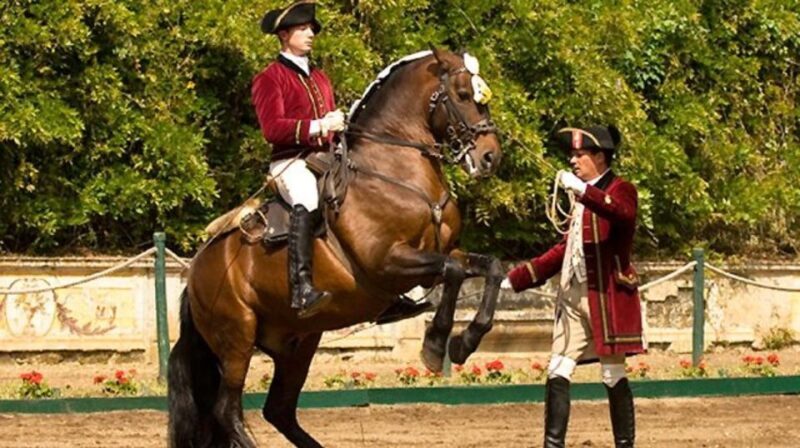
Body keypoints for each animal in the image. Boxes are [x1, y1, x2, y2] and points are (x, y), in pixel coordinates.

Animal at [167, 47, 504, 448]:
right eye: (463, 94)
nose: (490, 156)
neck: (398, 170)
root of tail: (196, 270)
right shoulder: (388, 263)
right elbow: (453, 273)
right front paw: (436, 344)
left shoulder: (442, 255)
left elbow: (491, 267)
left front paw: (466, 341)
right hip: (237, 339)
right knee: (227, 410)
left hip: (297, 343)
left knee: (278, 410)